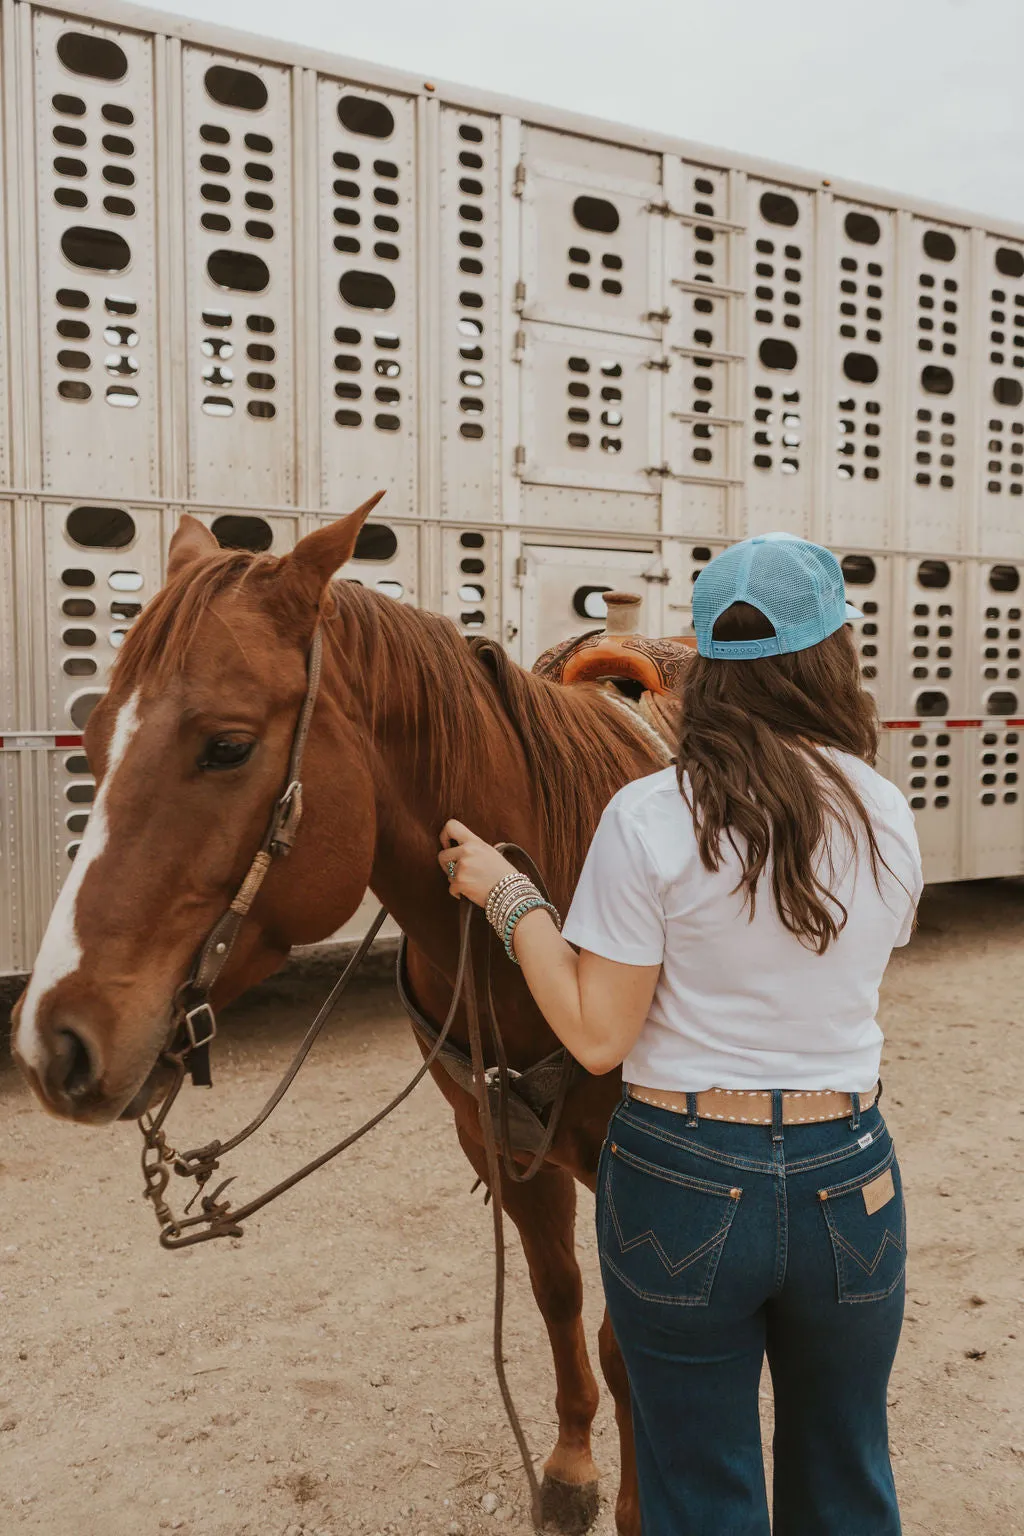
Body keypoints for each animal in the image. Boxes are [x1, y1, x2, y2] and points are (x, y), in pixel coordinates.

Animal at [14, 497, 666, 1529]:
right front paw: (568, 1467)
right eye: (97, 736)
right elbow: (559, 1296)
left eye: (228, 745)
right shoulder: (497, 1140)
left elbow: (627, 1341)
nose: (54, 1041)